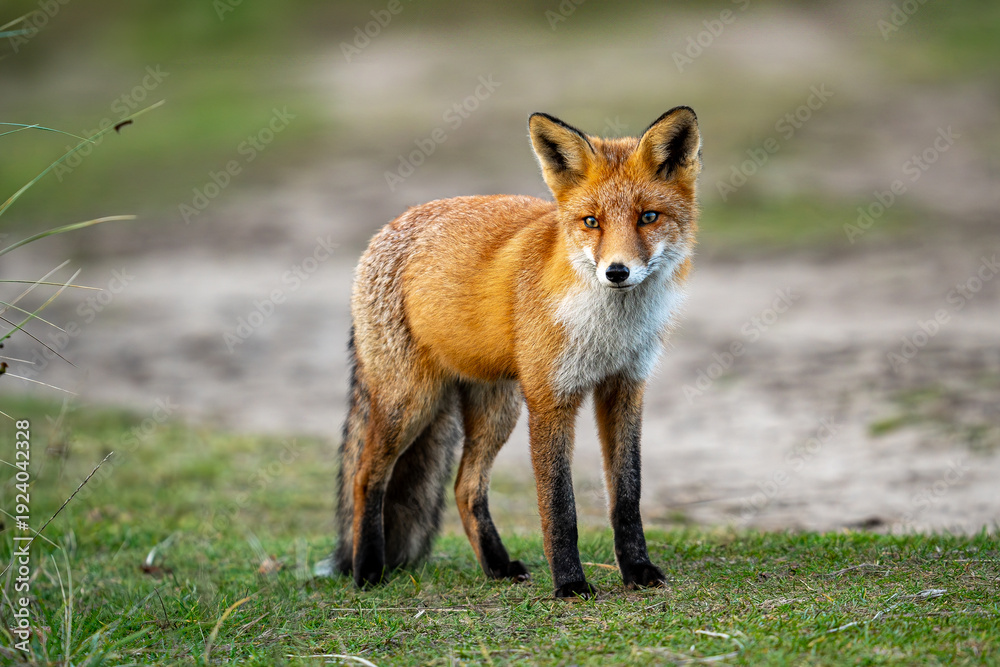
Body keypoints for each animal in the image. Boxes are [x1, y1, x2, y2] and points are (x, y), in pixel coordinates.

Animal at [334, 107, 701, 598]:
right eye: (591, 221)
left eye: (648, 217)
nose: (617, 272)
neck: (608, 331)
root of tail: (389, 226)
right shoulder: (550, 398)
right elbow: (559, 506)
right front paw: (570, 584)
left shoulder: (624, 388)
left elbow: (627, 496)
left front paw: (637, 570)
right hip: (411, 402)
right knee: (366, 477)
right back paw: (368, 569)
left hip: (496, 410)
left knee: (465, 488)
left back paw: (497, 565)